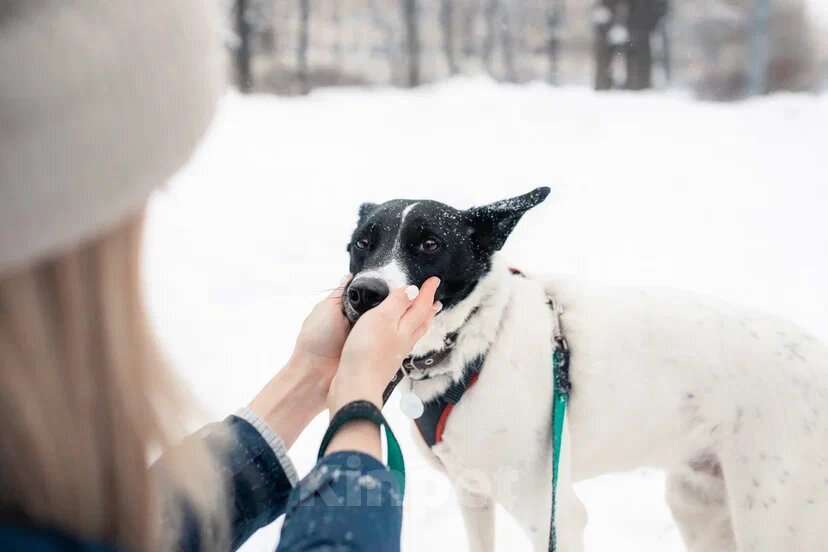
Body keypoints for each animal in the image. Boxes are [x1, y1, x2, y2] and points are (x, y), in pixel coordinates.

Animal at [340, 189, 828, 552]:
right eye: (362, 243)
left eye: (430, 244)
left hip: (774, 520)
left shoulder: (553, 516)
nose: (364, 293)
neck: (477, 340)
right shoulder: (472, 493)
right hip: (699, 502)